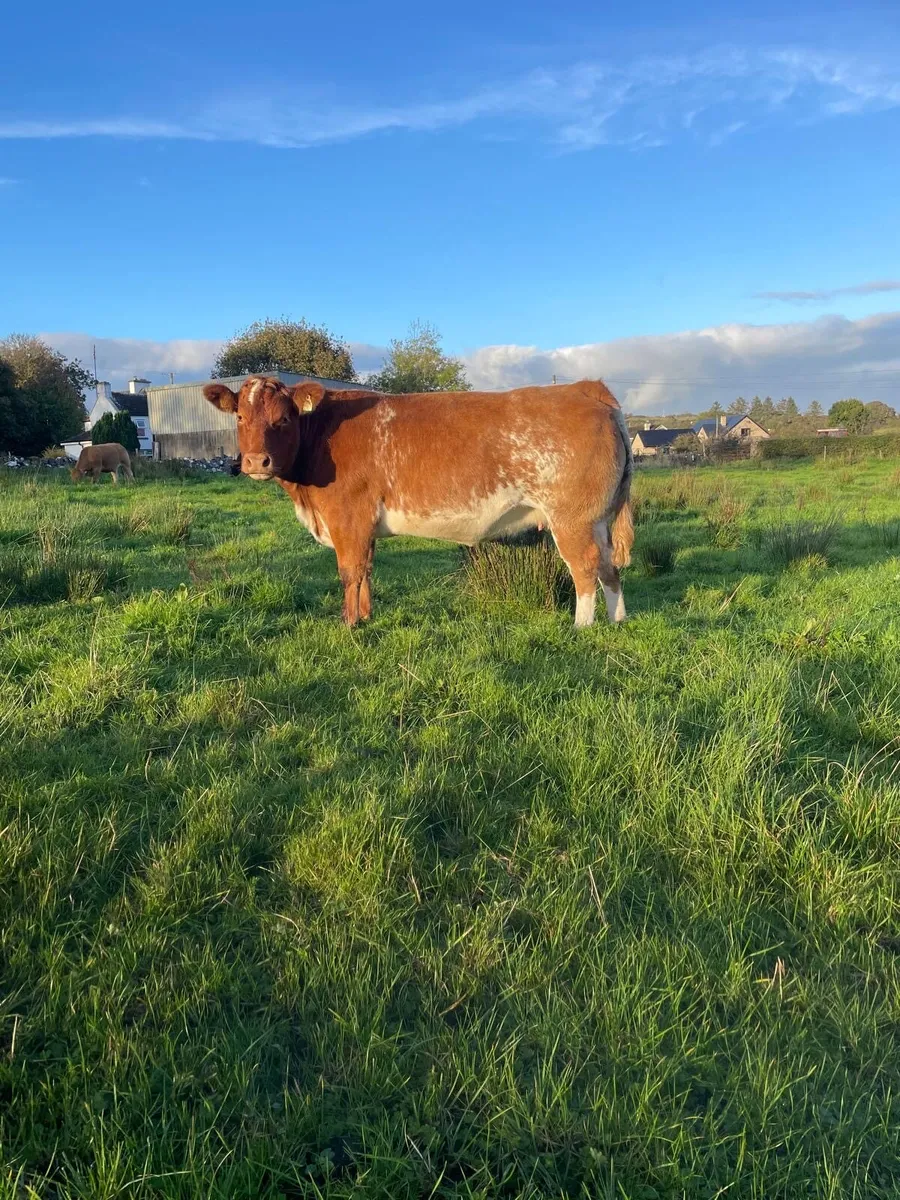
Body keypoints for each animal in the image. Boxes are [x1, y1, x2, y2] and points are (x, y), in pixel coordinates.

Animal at [203, 376, 633, 628]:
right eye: (240, 417)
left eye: (284, 419)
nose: (256, 462)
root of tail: (582, 387)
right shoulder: (364, 524)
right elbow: (366, 570)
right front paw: (366, 616)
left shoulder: (347, 516)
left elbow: (349, 572)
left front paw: (348, 625)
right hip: (596, 519)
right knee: (609, 566)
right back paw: (618, 620)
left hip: (571, 518)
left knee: (585, 568)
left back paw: (582, 626)